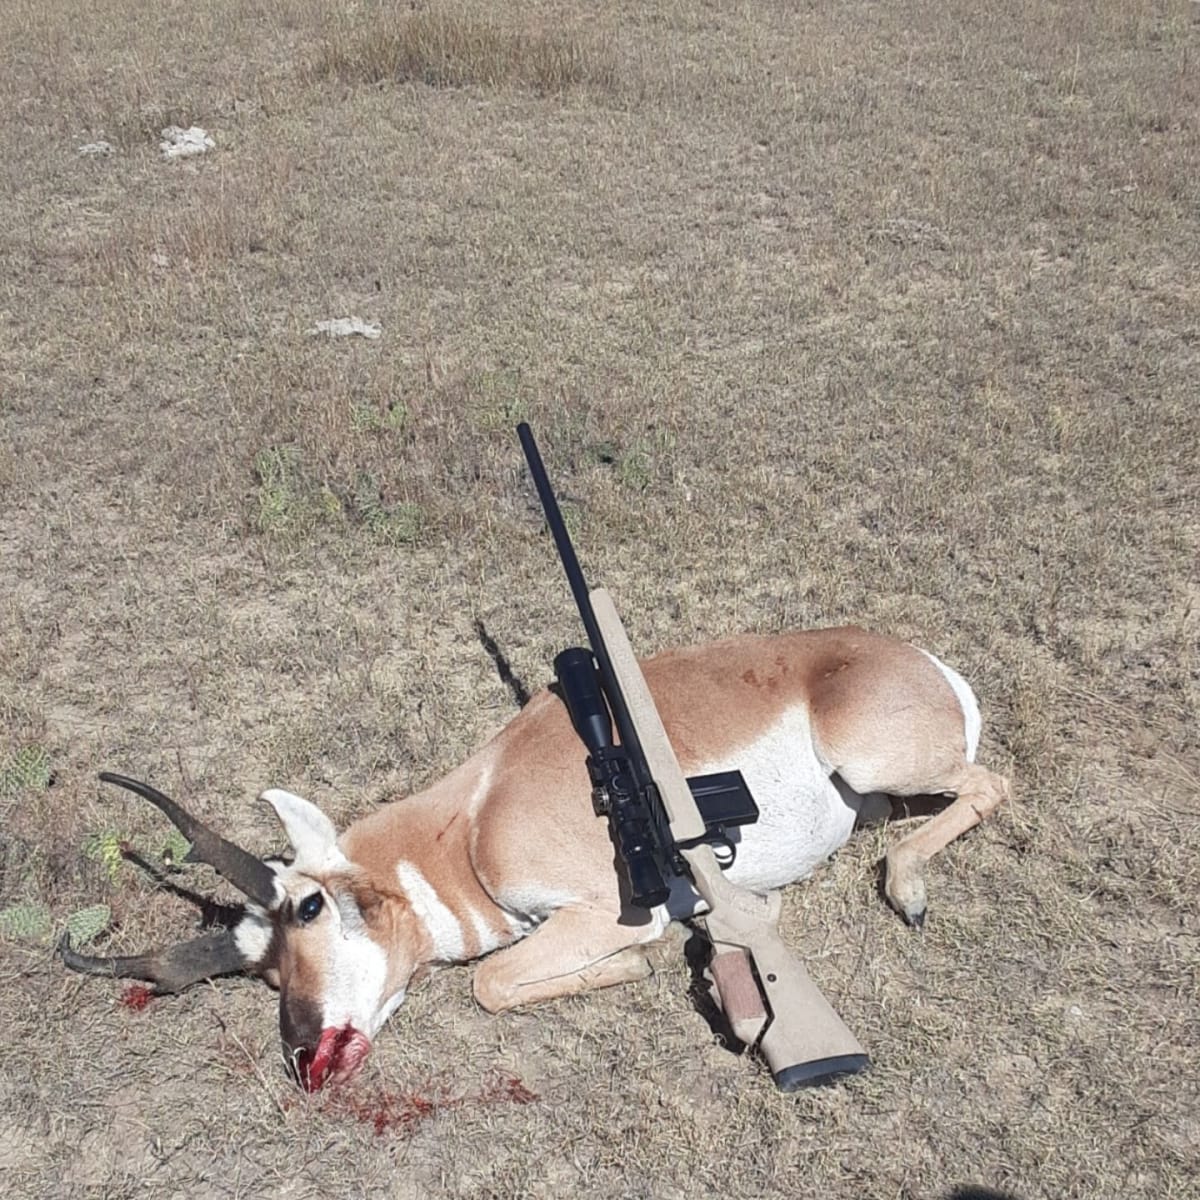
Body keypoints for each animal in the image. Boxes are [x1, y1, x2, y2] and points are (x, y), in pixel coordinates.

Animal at [63, 628, 1003, 1089]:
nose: (301, 1053)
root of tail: (920, 663)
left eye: (309, 906)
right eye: (261, 972)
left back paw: (909, 890)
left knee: (992, 784)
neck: (472, 815)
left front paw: (638, 964)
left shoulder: (602, 910)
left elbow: (490, 982)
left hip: (876, 762)